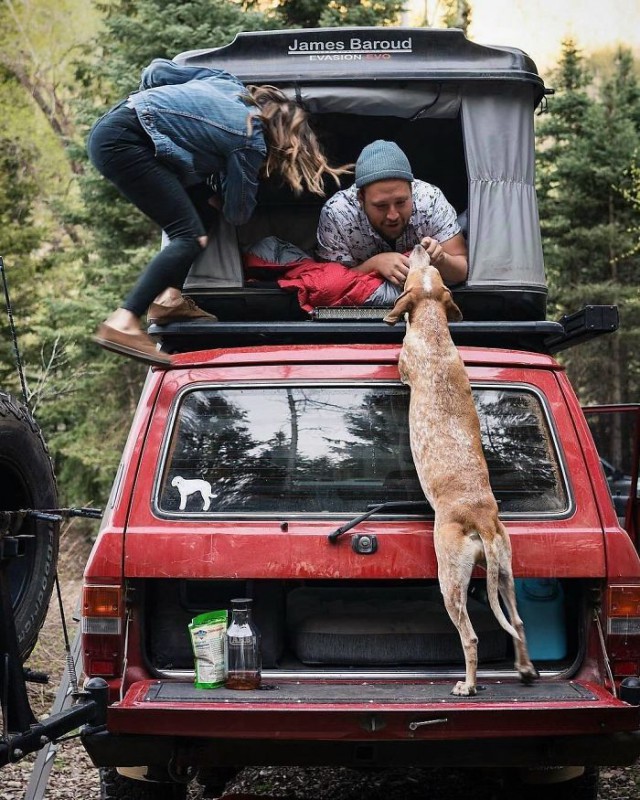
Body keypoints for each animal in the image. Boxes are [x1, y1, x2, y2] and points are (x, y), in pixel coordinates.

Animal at [382, 242, 536, 692]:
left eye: (419, 268)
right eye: (430, 268)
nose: (421, 244)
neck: (434, 330)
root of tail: (480, 517)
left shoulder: (404, 363)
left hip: (449, 579)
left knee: (470, 635)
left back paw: (467, 684)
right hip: (505, 571)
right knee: (518, 622)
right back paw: (525, 669)